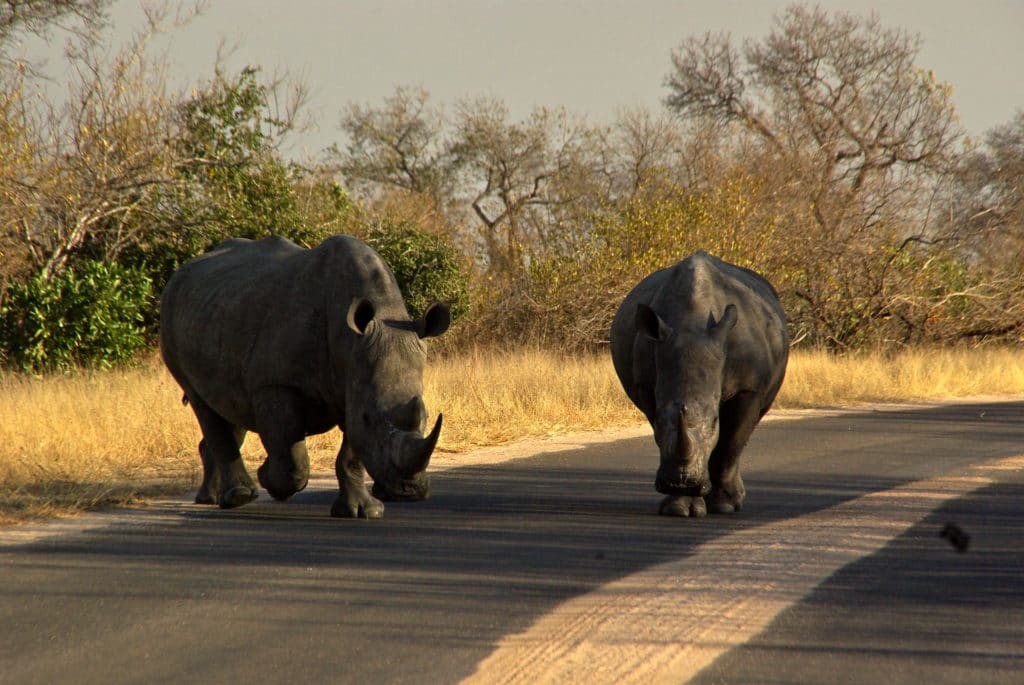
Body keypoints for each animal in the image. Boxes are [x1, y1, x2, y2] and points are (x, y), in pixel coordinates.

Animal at [159, 235, 448, 518]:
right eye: (369, 418)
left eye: (425, 415)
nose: (409, 490)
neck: (350, 339)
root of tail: (180, 272)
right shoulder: (276, 383)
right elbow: (294, 459)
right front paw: (270, 478)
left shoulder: (354, 379)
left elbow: (351, 454)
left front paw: (363, 511)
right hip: (172, 320)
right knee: (202, 403)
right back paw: (239, 496)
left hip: (222, 310)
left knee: (228, 406)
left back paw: (211, 498)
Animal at [610, 253, 786, 516]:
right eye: (659, 418)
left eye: (714, 421)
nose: (681, 482)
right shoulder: (646, 386)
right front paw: (679, 508)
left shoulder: (749, 387)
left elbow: (731, 442)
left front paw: (723, 505)